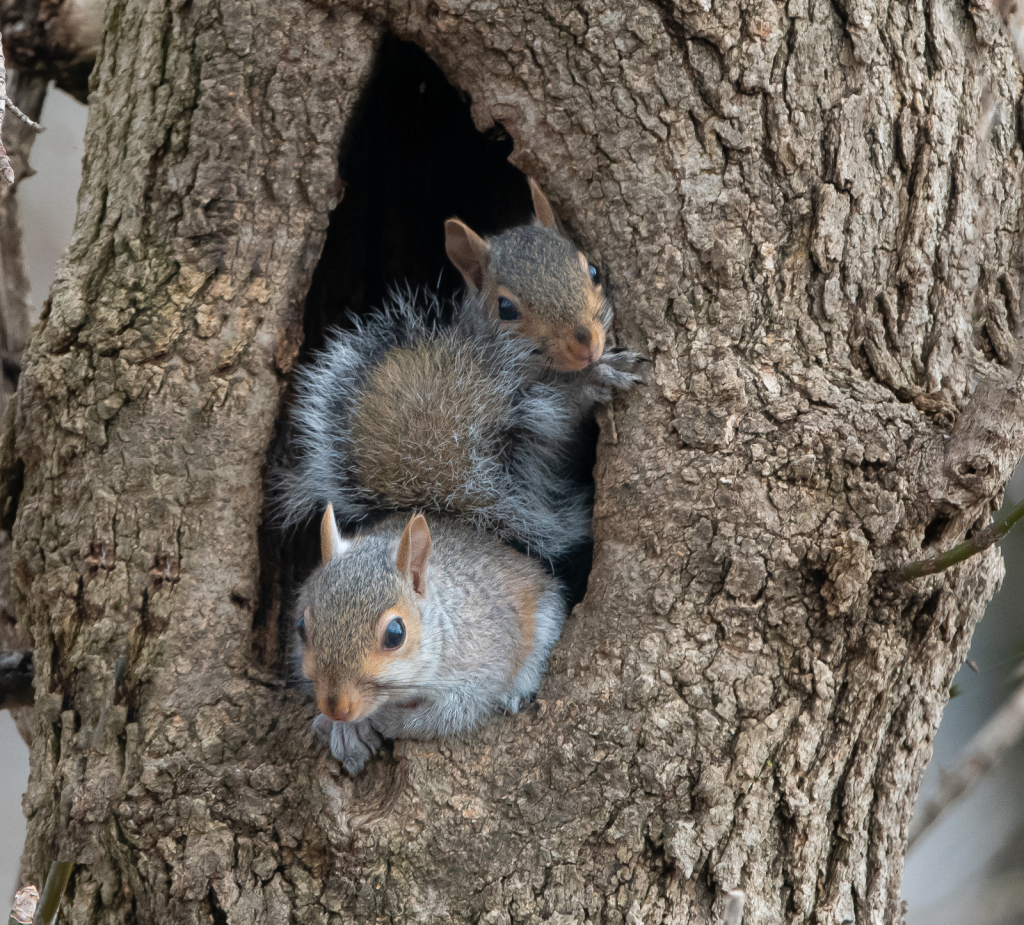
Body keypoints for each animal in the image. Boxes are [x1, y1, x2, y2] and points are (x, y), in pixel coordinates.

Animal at [296, 506, 569, 774]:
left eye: (395, 634)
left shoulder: (482, 665)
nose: (336, 708)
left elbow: (447, 715)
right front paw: (344, 729)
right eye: (301, 627)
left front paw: (387, 720)